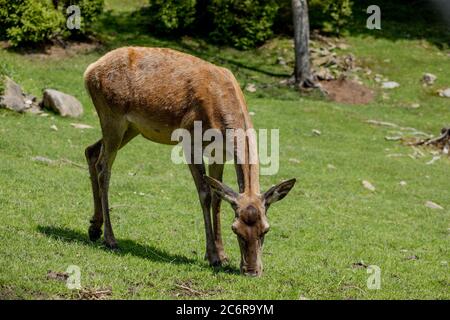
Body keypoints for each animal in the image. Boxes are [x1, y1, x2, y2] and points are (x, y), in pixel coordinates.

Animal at [84, 47, 298, 276]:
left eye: (266, 229)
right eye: (236, 229)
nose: (251, 271)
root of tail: (90, 71)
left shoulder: (219, 153)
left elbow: (218, 196)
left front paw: (222, 254)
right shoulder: (190, 140)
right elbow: (205, 194)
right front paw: (212, 256)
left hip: (131, 128)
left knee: (91, 151)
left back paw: (94, 227)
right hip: (112, 117)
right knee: (104, 168)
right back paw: (110, 239)